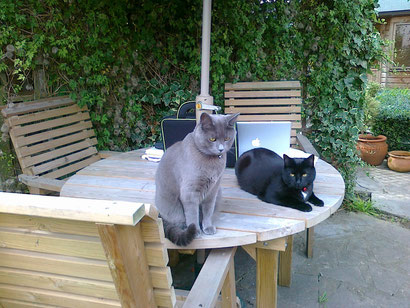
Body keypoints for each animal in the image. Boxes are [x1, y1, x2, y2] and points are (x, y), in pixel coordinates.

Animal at [156, 112, 240, 245]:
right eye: (212, 139)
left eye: (227, 139)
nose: (221, 149)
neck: (212, 164)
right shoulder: (190, 193)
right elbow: (192, 214)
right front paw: (195, 231)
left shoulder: (213, 190)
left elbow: (208, 211)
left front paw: (208, 227)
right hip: (172, 206)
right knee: (178, 220)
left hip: (219, 193)